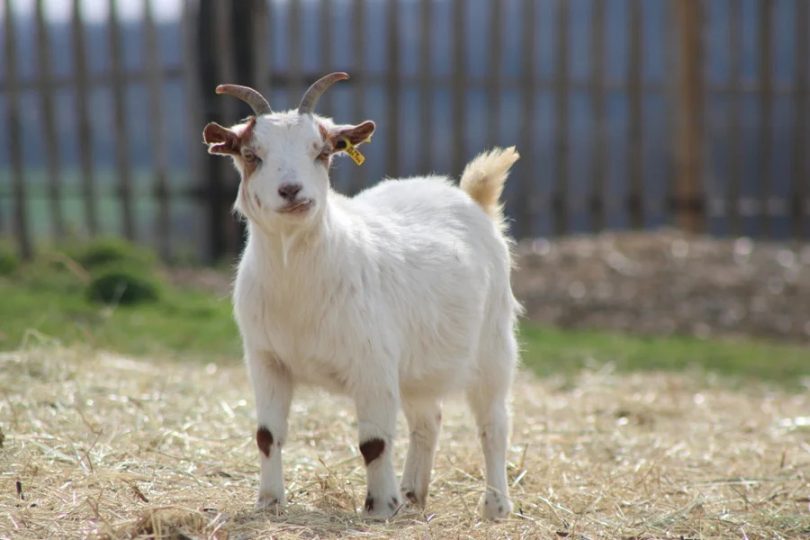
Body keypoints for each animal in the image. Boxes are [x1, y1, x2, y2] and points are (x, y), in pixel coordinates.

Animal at [203, 72, 521, 520]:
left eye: (322, 152)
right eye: (251, 154)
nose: (291, 190)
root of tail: (470, 198)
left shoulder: (373, 364)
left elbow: (373, 443)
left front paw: (380, 508)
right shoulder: (266, 360)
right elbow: (267, 434)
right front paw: (268, 501)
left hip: (494, 345)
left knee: (493, 423)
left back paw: (494, 505)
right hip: (418, 365)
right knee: (429, 419)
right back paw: (413, 493)